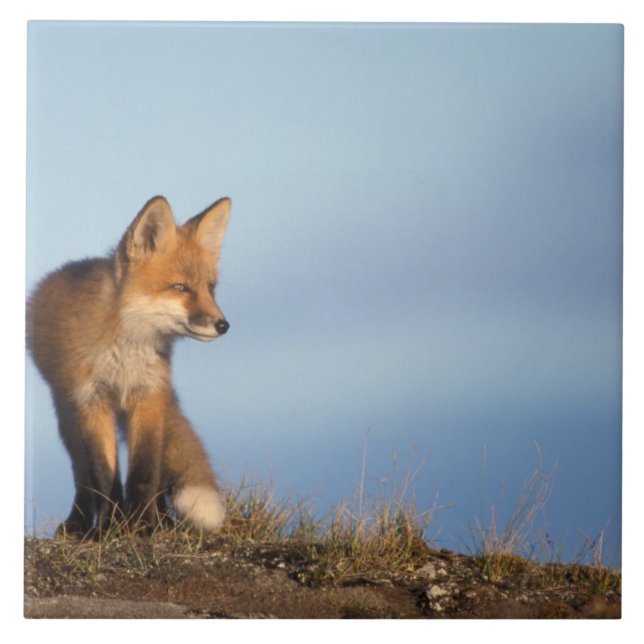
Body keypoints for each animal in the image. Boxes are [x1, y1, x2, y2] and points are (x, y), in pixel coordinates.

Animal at [27, 195, 232, 536]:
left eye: (210, 288)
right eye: (180, 288)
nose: (223, 325)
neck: (125, 352)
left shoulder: (148, 395)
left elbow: (144, 472)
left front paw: (142, 525)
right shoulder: (91, 401)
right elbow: (104, 476)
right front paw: (111, 528)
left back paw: (161, 520)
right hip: (67, 415)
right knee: (83, 476)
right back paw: (79, 524)